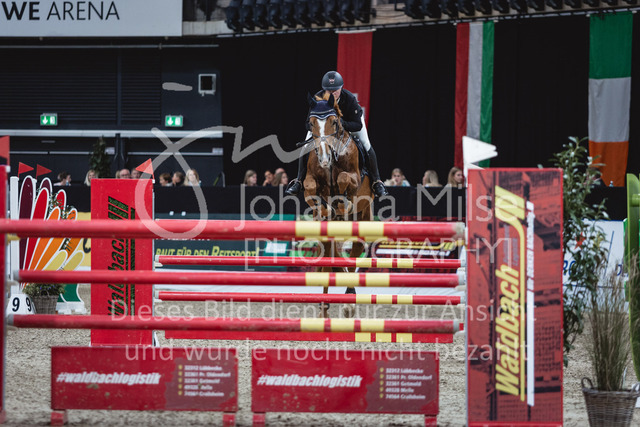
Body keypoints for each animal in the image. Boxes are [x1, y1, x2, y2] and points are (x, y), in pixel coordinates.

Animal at [302, 92, 374, 318]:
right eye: (311, 123)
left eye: (334, 122)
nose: (324, 158)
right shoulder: (310, 180)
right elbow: (309, 187)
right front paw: (325, 206)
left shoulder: (353, 178)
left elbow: (343, 178)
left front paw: (343, 203)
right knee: (330, 256)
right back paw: (324, 309)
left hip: (364, 217)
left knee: (355, 251)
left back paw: (349, 301)